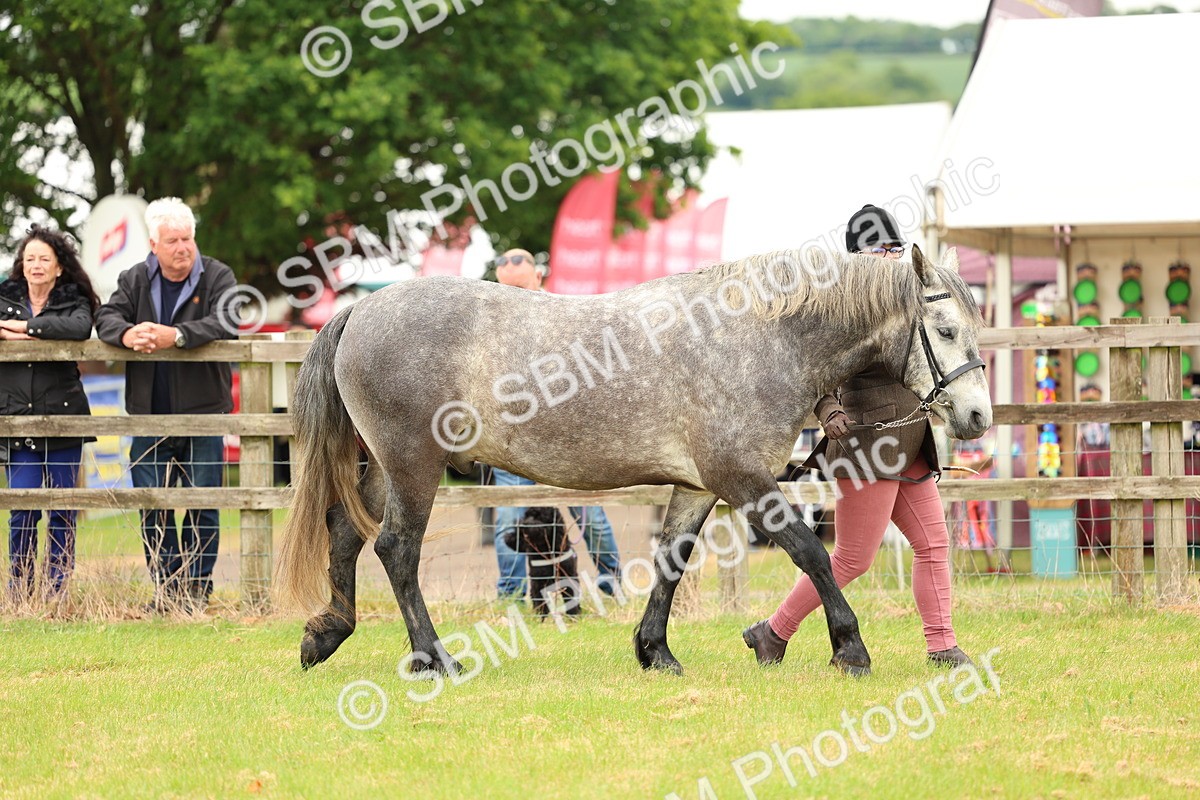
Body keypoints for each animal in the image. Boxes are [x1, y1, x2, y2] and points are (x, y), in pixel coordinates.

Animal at [275, 244, 991, 677]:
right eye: (945, 330)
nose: (978, 418)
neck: (758, 338)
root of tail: (362, 307)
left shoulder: (700, 486)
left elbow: (672, 560)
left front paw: (655, 652)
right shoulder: (744, 480)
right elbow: (811, 554)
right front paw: (850, 647)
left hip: (378, 466)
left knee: (346, 535)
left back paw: (325, 636)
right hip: (412, 465)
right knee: (395, 548)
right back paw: (434, 657)